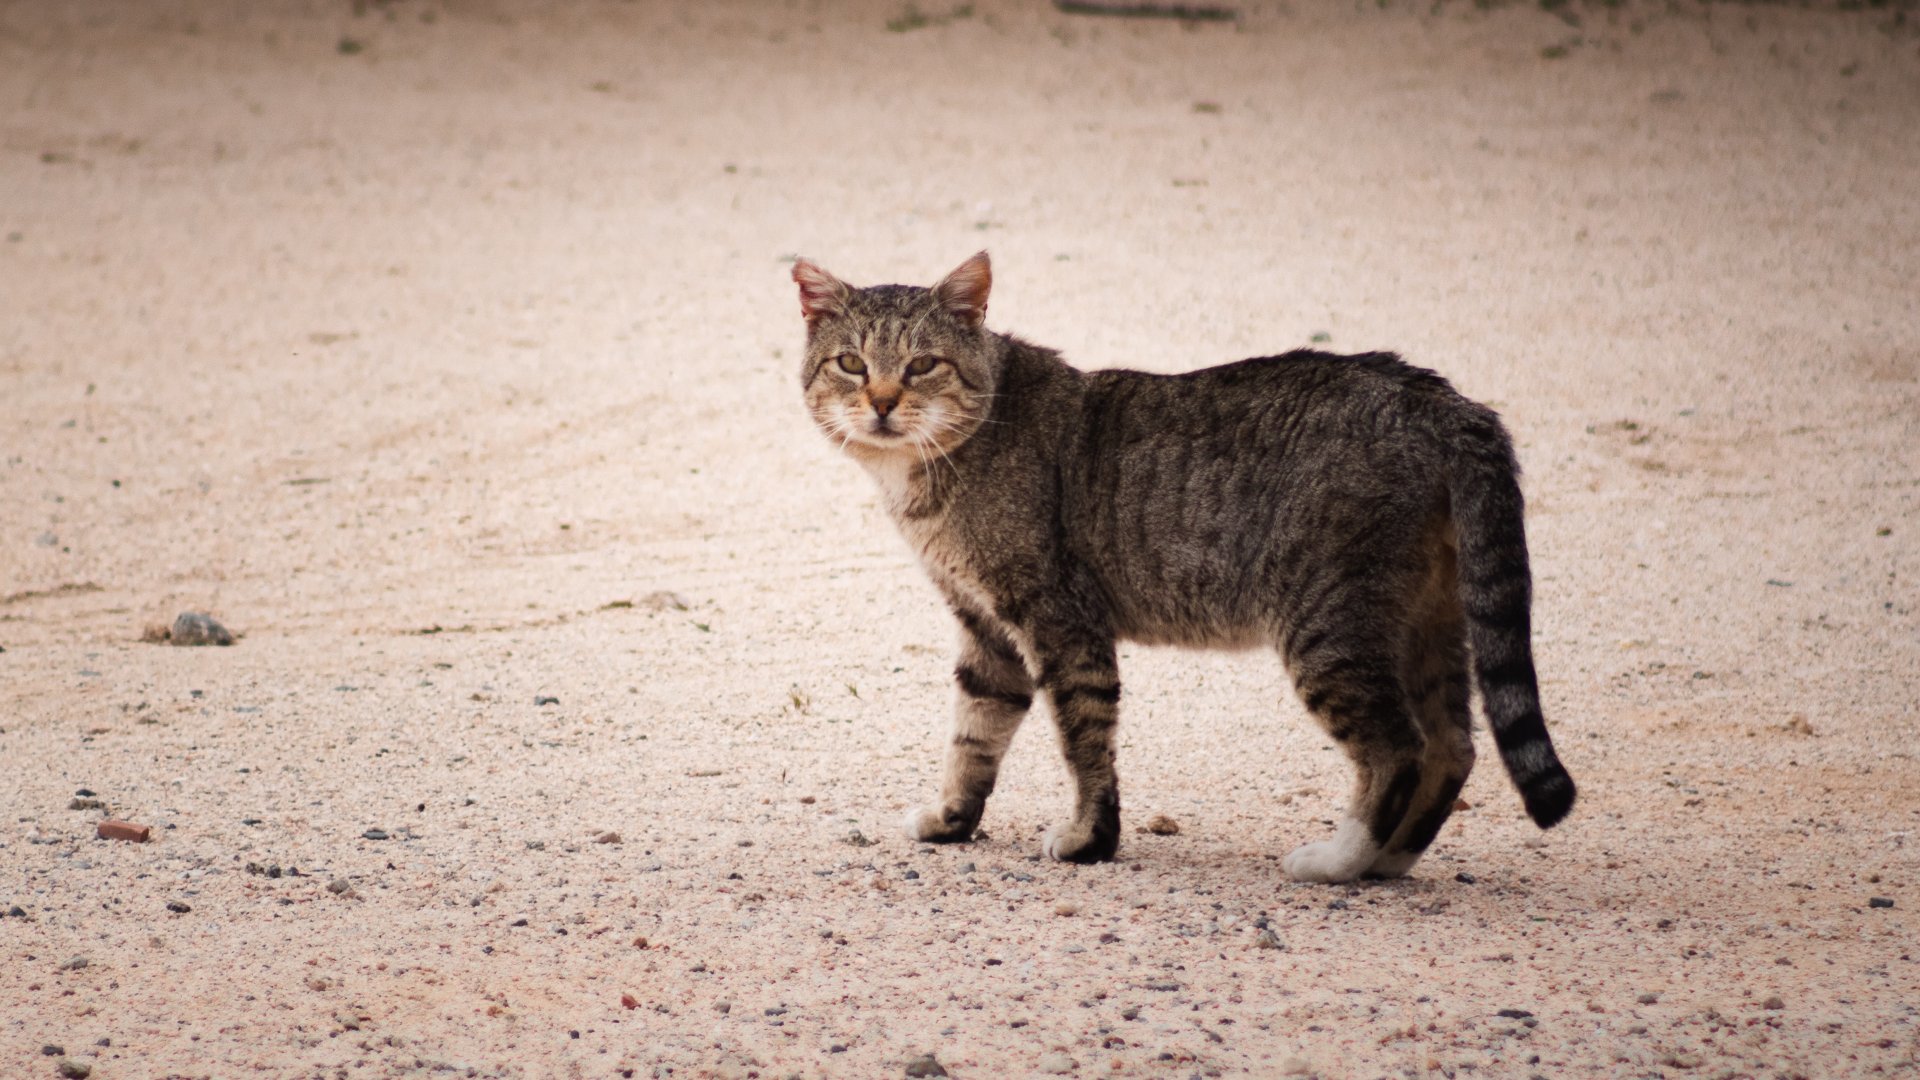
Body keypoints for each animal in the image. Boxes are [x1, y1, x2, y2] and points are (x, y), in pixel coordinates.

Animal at [791, 253, 1574, 883]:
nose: (882, 402)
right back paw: (1389, 860)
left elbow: (1084, 742)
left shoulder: (1059, 623)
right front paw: (953, 821)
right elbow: (973, 737)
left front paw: (1089, 841)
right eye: (851, 364)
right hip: (1425, 623)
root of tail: (1444, 401)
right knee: (1453, 748)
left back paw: (1340, 861)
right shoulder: (987, 630)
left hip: (1328, 628)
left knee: (1400, 750)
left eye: (922, 364)